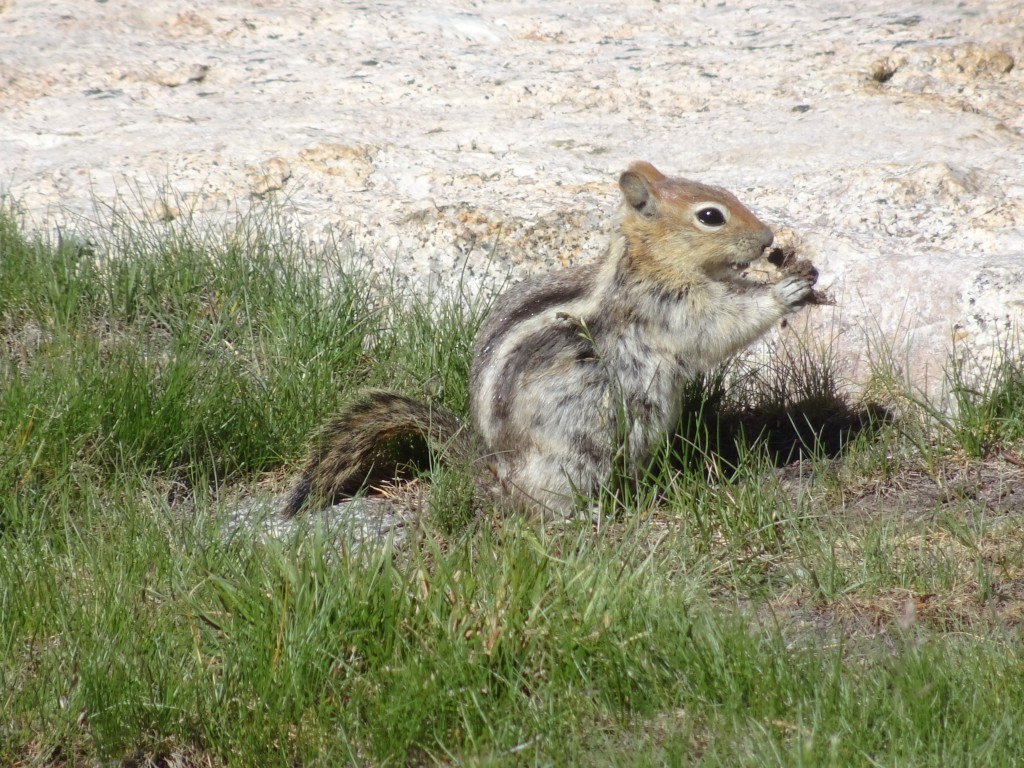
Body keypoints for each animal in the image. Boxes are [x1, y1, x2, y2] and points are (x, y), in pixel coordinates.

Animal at [280, 161, 815, 518]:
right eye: (710, 216)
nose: (769, 239)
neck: (642, 263)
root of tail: (494, 476)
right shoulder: (668, 307)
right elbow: (719, 325)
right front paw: (783, 291)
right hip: (574, 459)